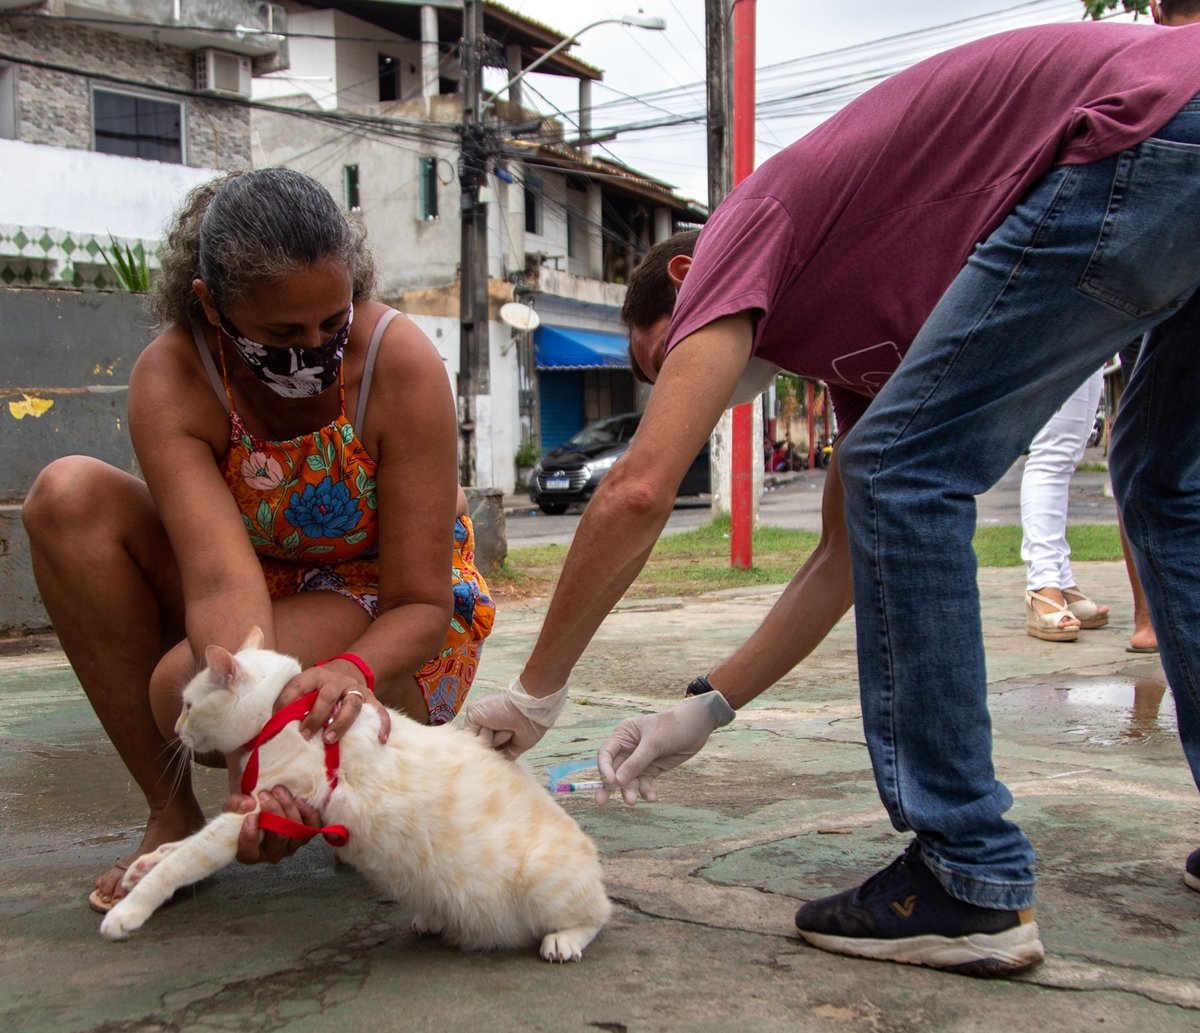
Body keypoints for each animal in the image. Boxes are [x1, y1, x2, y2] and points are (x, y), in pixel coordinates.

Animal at [98, 623, 609, 964]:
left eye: (187, 705)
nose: (176, 729)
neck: (278, 717)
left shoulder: (258, 810)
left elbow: (187, 858)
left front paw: (131, 908)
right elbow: (179, 848)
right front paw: (143, 865)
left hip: (546, 881)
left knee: (597, 916)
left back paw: (563, 941)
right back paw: (434, 919)